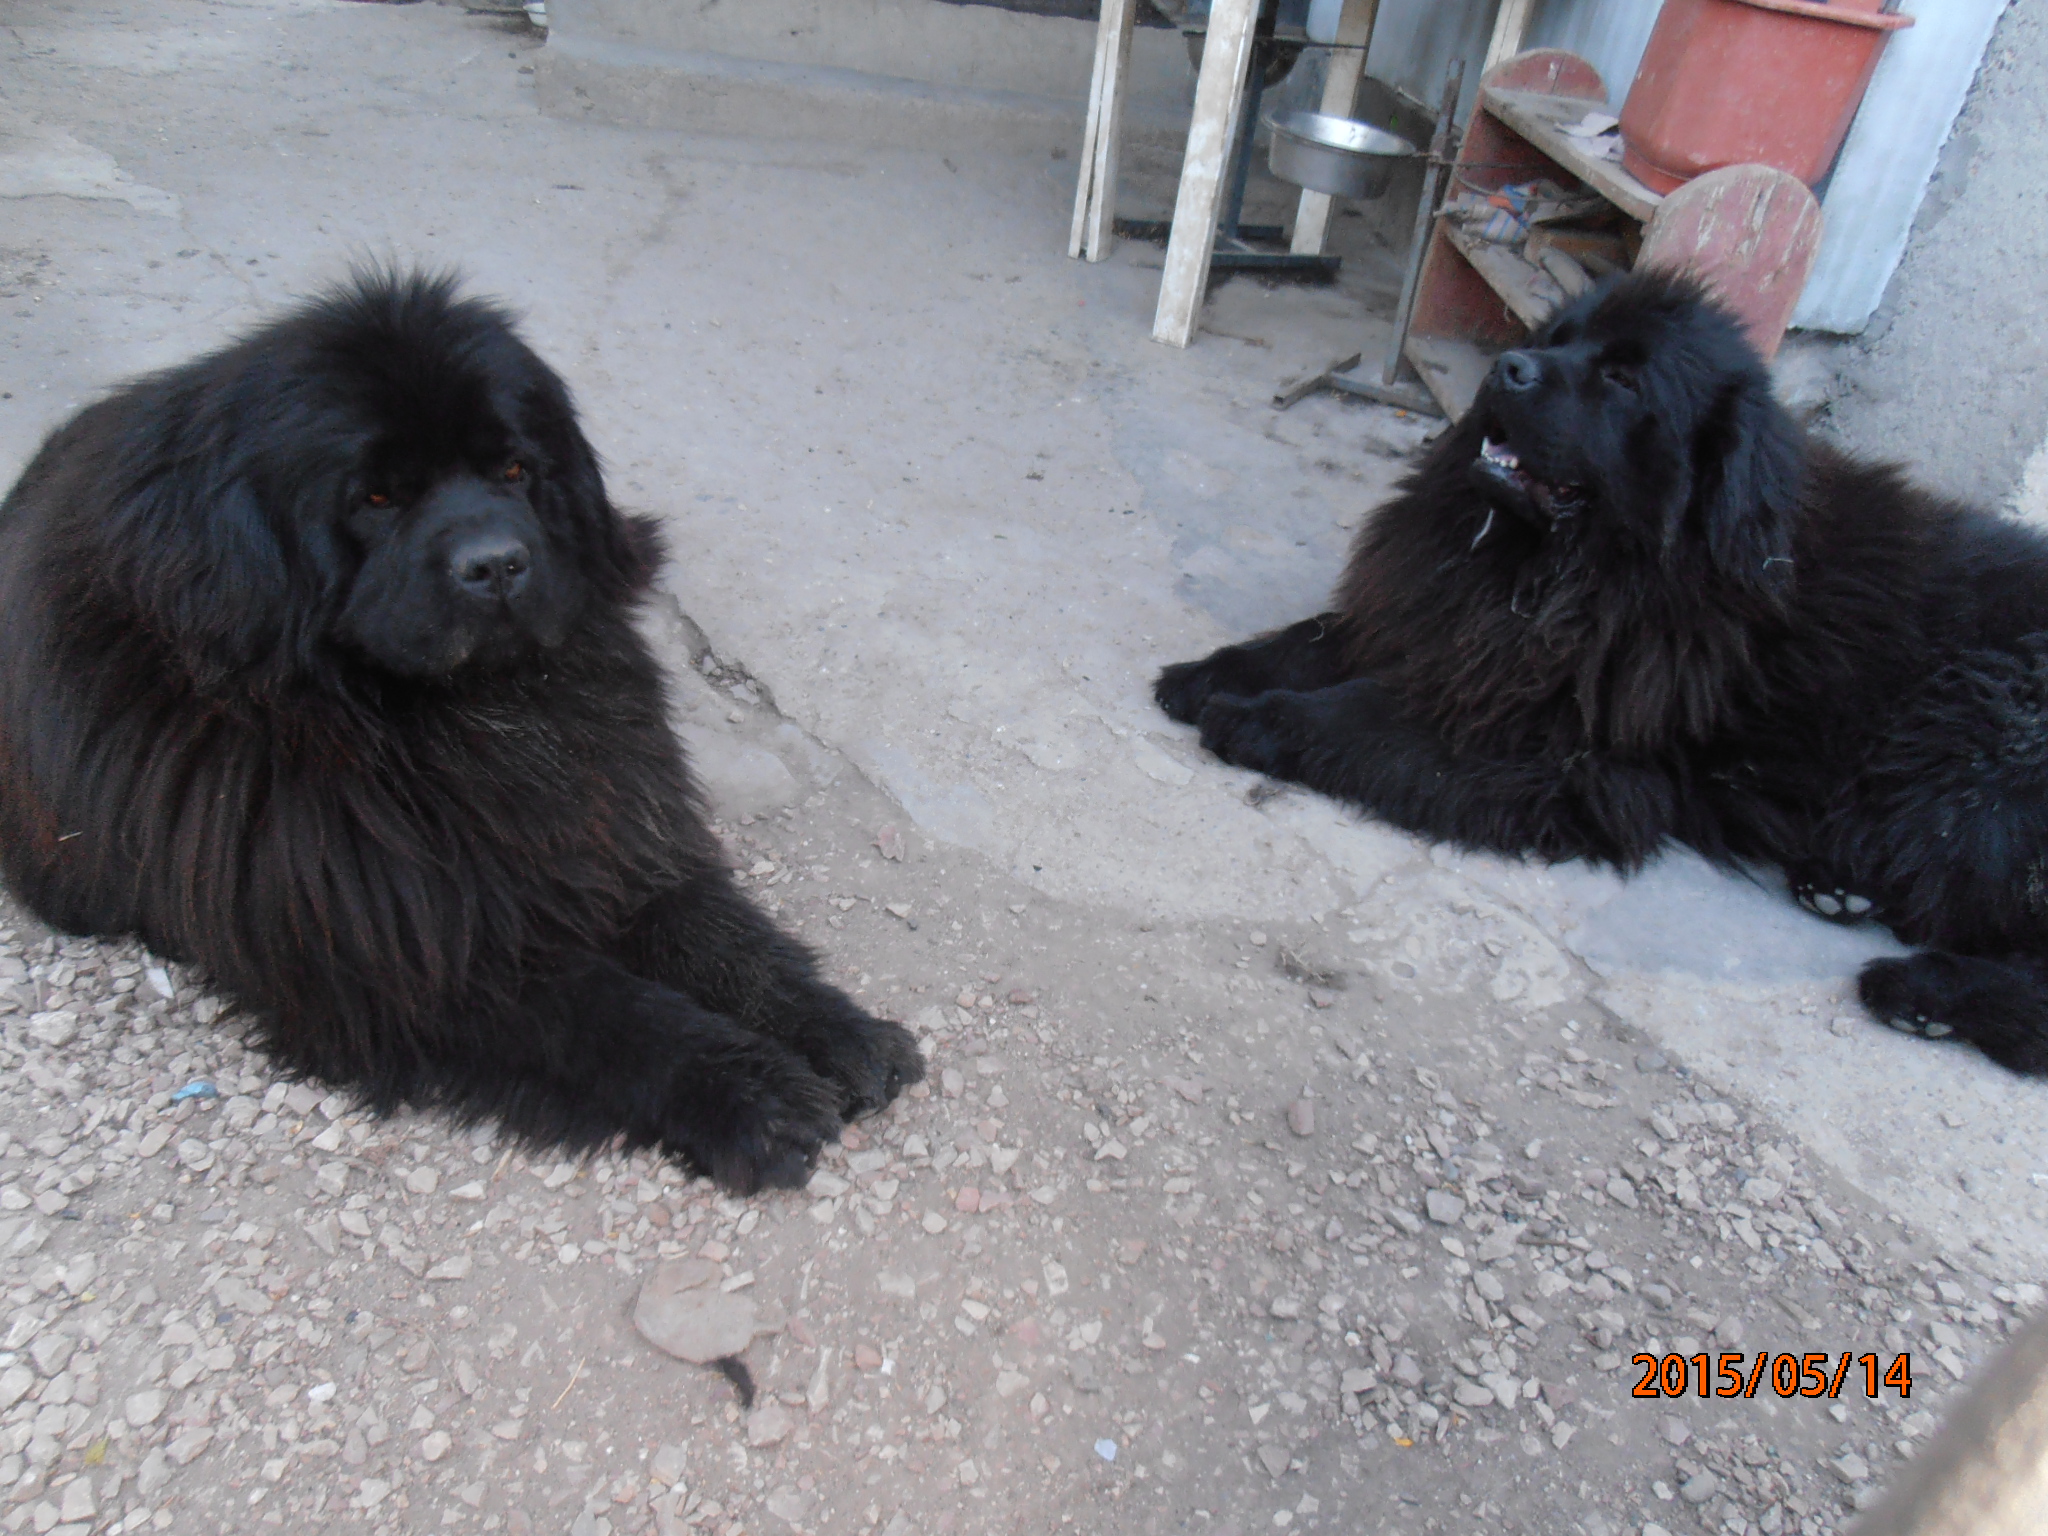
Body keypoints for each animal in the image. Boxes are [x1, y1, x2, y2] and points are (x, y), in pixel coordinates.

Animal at [0, 269, 922, 1193]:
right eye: (376, 496)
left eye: (514, 470)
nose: (497, 563)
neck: (453, 727)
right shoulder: (415, 962)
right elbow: (613, 1016)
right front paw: (753, 1094)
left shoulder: (608, 830)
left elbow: (719, 937)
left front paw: (837, 1029)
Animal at [1158, 270, 2048, 1076]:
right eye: (1560, 340)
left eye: (1623, 379)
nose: (1508, 366)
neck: (1569, 572)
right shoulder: (1445, 632)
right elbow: (1317, 641)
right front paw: (1208, 674)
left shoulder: (1554, 747)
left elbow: (1360, 716)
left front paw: (1258, 718)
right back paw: (1839, 889)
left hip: (1965, 759)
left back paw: (1926, 993)